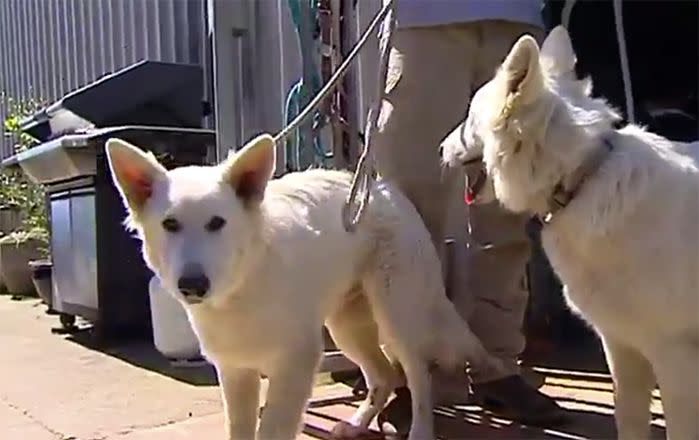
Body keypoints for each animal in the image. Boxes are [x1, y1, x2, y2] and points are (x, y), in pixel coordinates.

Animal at [104, 134, 498, 440]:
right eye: (170, 224)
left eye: (217, 223)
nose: (192, 285)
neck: (244, 285)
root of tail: (382, 187)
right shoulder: (236, 373)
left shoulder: (294, 366)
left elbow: (272, 430)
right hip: (346, 329)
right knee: (385, 376)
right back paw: (357, 424)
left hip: (396, 317)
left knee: (417, 376)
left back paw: (419, 430)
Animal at [442, 26, 699, 440]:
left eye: (468, 119)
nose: (439, 148)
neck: (584, 177)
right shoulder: (623, 348)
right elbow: (629, 420)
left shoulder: (676, 360)